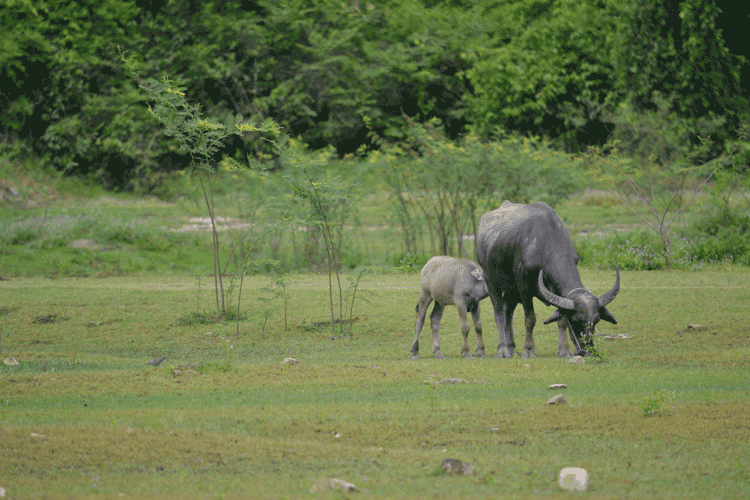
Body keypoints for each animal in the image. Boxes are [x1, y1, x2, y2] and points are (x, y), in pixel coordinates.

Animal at [476, 201, 624, 358]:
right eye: (576, 320)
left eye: (596, 321)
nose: (588, 351)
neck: (544, 244)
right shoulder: (524, 289)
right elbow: (530, 319)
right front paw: (528, 350)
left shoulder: (558, 293)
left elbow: (562, 320)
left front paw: (565, 350)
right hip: (490, 280)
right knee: (498, 312)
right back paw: (503, 350)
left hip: (511, 290)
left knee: (507, 311)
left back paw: (511, 348)